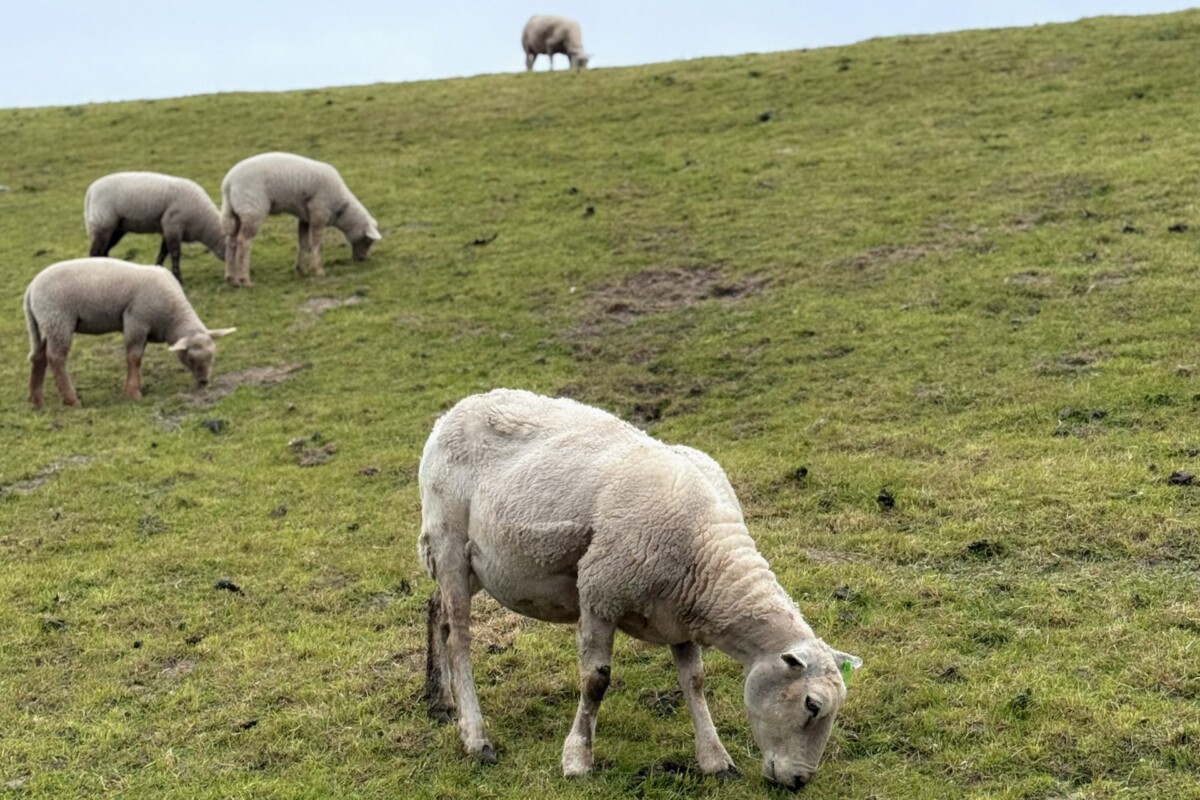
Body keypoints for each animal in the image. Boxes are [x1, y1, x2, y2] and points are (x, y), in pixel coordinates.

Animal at [24, 258, 235, 408]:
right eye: (190, 358)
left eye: (213, 355)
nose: (204, 382)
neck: (172, 316)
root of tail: (31, 289)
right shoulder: (136, 321)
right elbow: (134, 358)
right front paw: (133, 393)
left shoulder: (143, 329)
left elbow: (138, 357)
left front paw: (135, 387)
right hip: (59, 320)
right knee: (56, 358)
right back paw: (71, 400)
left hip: (49, 325)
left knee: (40, 357)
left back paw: (36, 400)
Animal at [84, 172, 226, 282]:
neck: (204, 224)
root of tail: (91, 191)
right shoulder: (173, 225)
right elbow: (175, 253)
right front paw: (178, 278)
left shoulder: (168, 229)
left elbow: (163, 252)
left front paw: (159, 268)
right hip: (103, 223)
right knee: (95, 252)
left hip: (116, 228)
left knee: (104, 250)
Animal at [220, 152, 382, 286]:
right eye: (368, 240)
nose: (361, 259)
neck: (341, 209)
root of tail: (228, 183)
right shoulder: (318, 214)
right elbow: (316, 245)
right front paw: (319, 271)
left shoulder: (305, 218)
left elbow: (302, 243)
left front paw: (301, 270)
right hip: (252, 209)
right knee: (243, 242)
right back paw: (245, 279)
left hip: (235, 212)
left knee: (230, 241)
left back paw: (231, 278)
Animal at [418, 389, 861, 789]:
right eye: (812, 704)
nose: (800, 781)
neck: (708, 556)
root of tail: (459, 408)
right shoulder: (599, 594)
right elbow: (595, 680)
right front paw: (577, 759)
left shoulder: (679, 617)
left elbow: (694, 681)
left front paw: (715, 759)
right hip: (448, 538)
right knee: (458, 636)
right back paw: (475, 736)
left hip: (480, 562)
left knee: (436, 608)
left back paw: (439, 699)